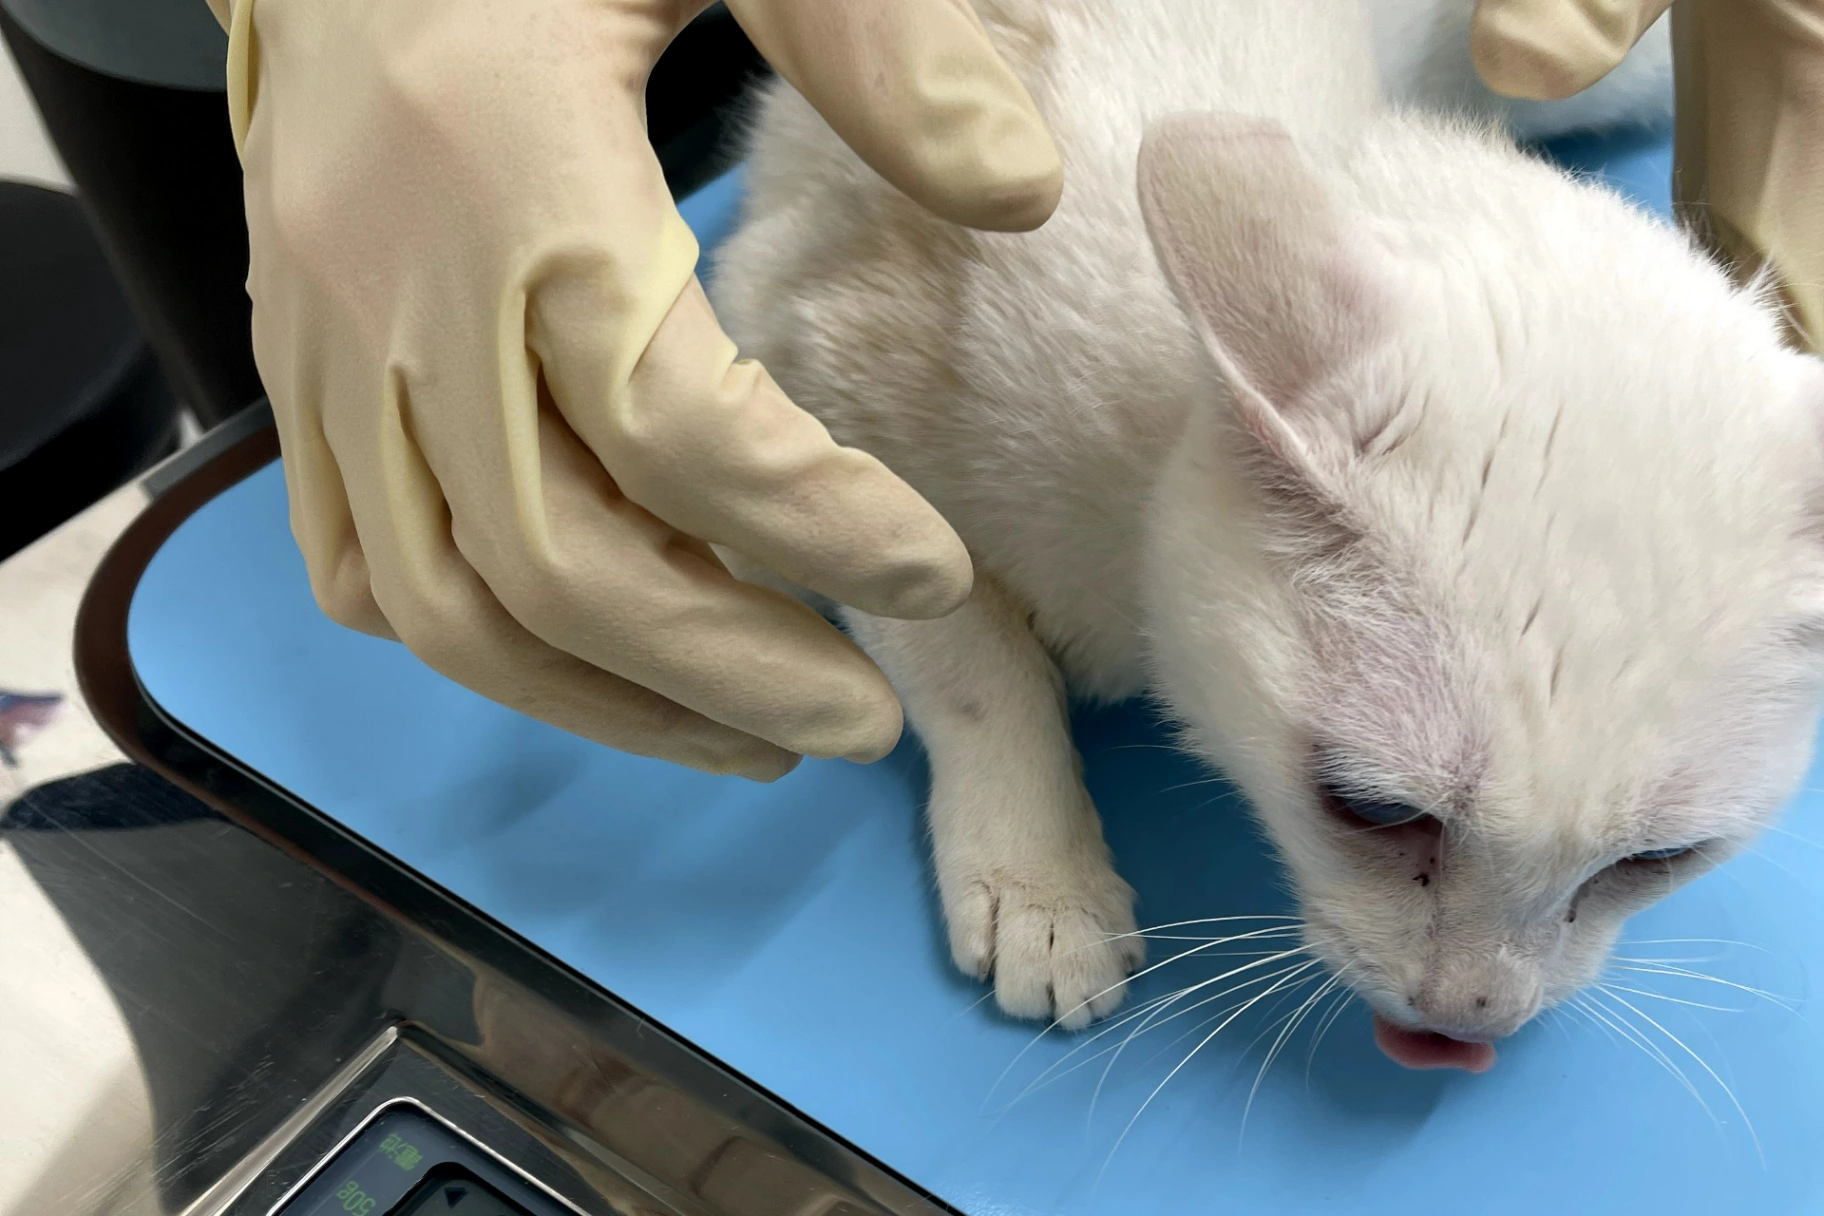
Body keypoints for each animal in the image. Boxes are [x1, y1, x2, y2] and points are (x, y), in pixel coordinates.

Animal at [709, 0, 1824, 1070]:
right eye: (1373, 808)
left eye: (1655, 861)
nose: (1467, 1020)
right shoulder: (820, 397)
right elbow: (969, 658)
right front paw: (1042, 882)